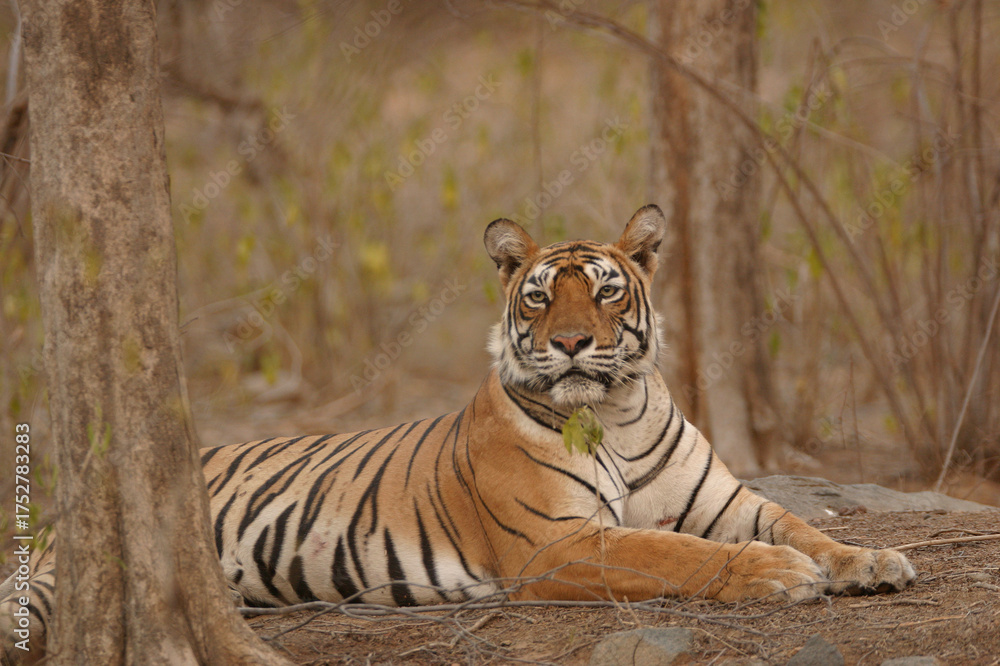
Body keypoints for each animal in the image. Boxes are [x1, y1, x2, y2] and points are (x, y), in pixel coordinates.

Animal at [2, 205, 915, 661]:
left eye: (607, 291)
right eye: (541, 296)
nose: (571, 343)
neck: (616, 412)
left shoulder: (724, 501)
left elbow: (799, 522)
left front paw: (870, 562)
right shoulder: (558, 544)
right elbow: (674, 553)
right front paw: (777, 575)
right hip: (54, 584)